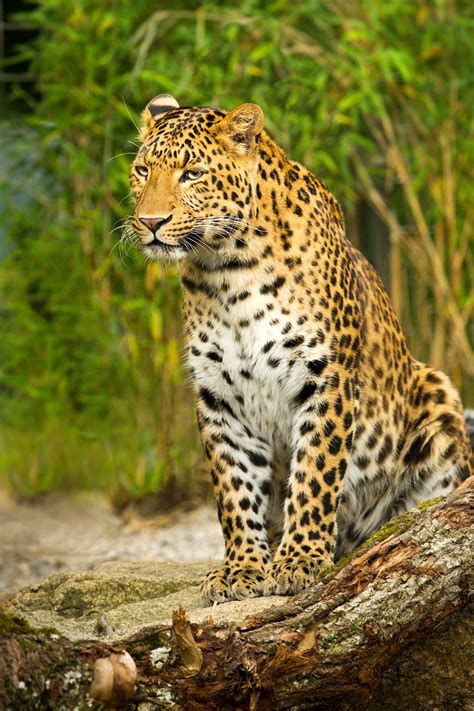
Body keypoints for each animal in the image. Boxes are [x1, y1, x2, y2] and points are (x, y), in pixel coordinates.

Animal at [128, 94, 472, 604]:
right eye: (141, 170)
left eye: (192, 173)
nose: (151, 222)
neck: (227, 271)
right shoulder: (218, 397)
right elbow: (233, 487)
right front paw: (241, 568)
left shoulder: (325, 378)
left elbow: (314, 472)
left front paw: (299, 561)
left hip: (437, 390)